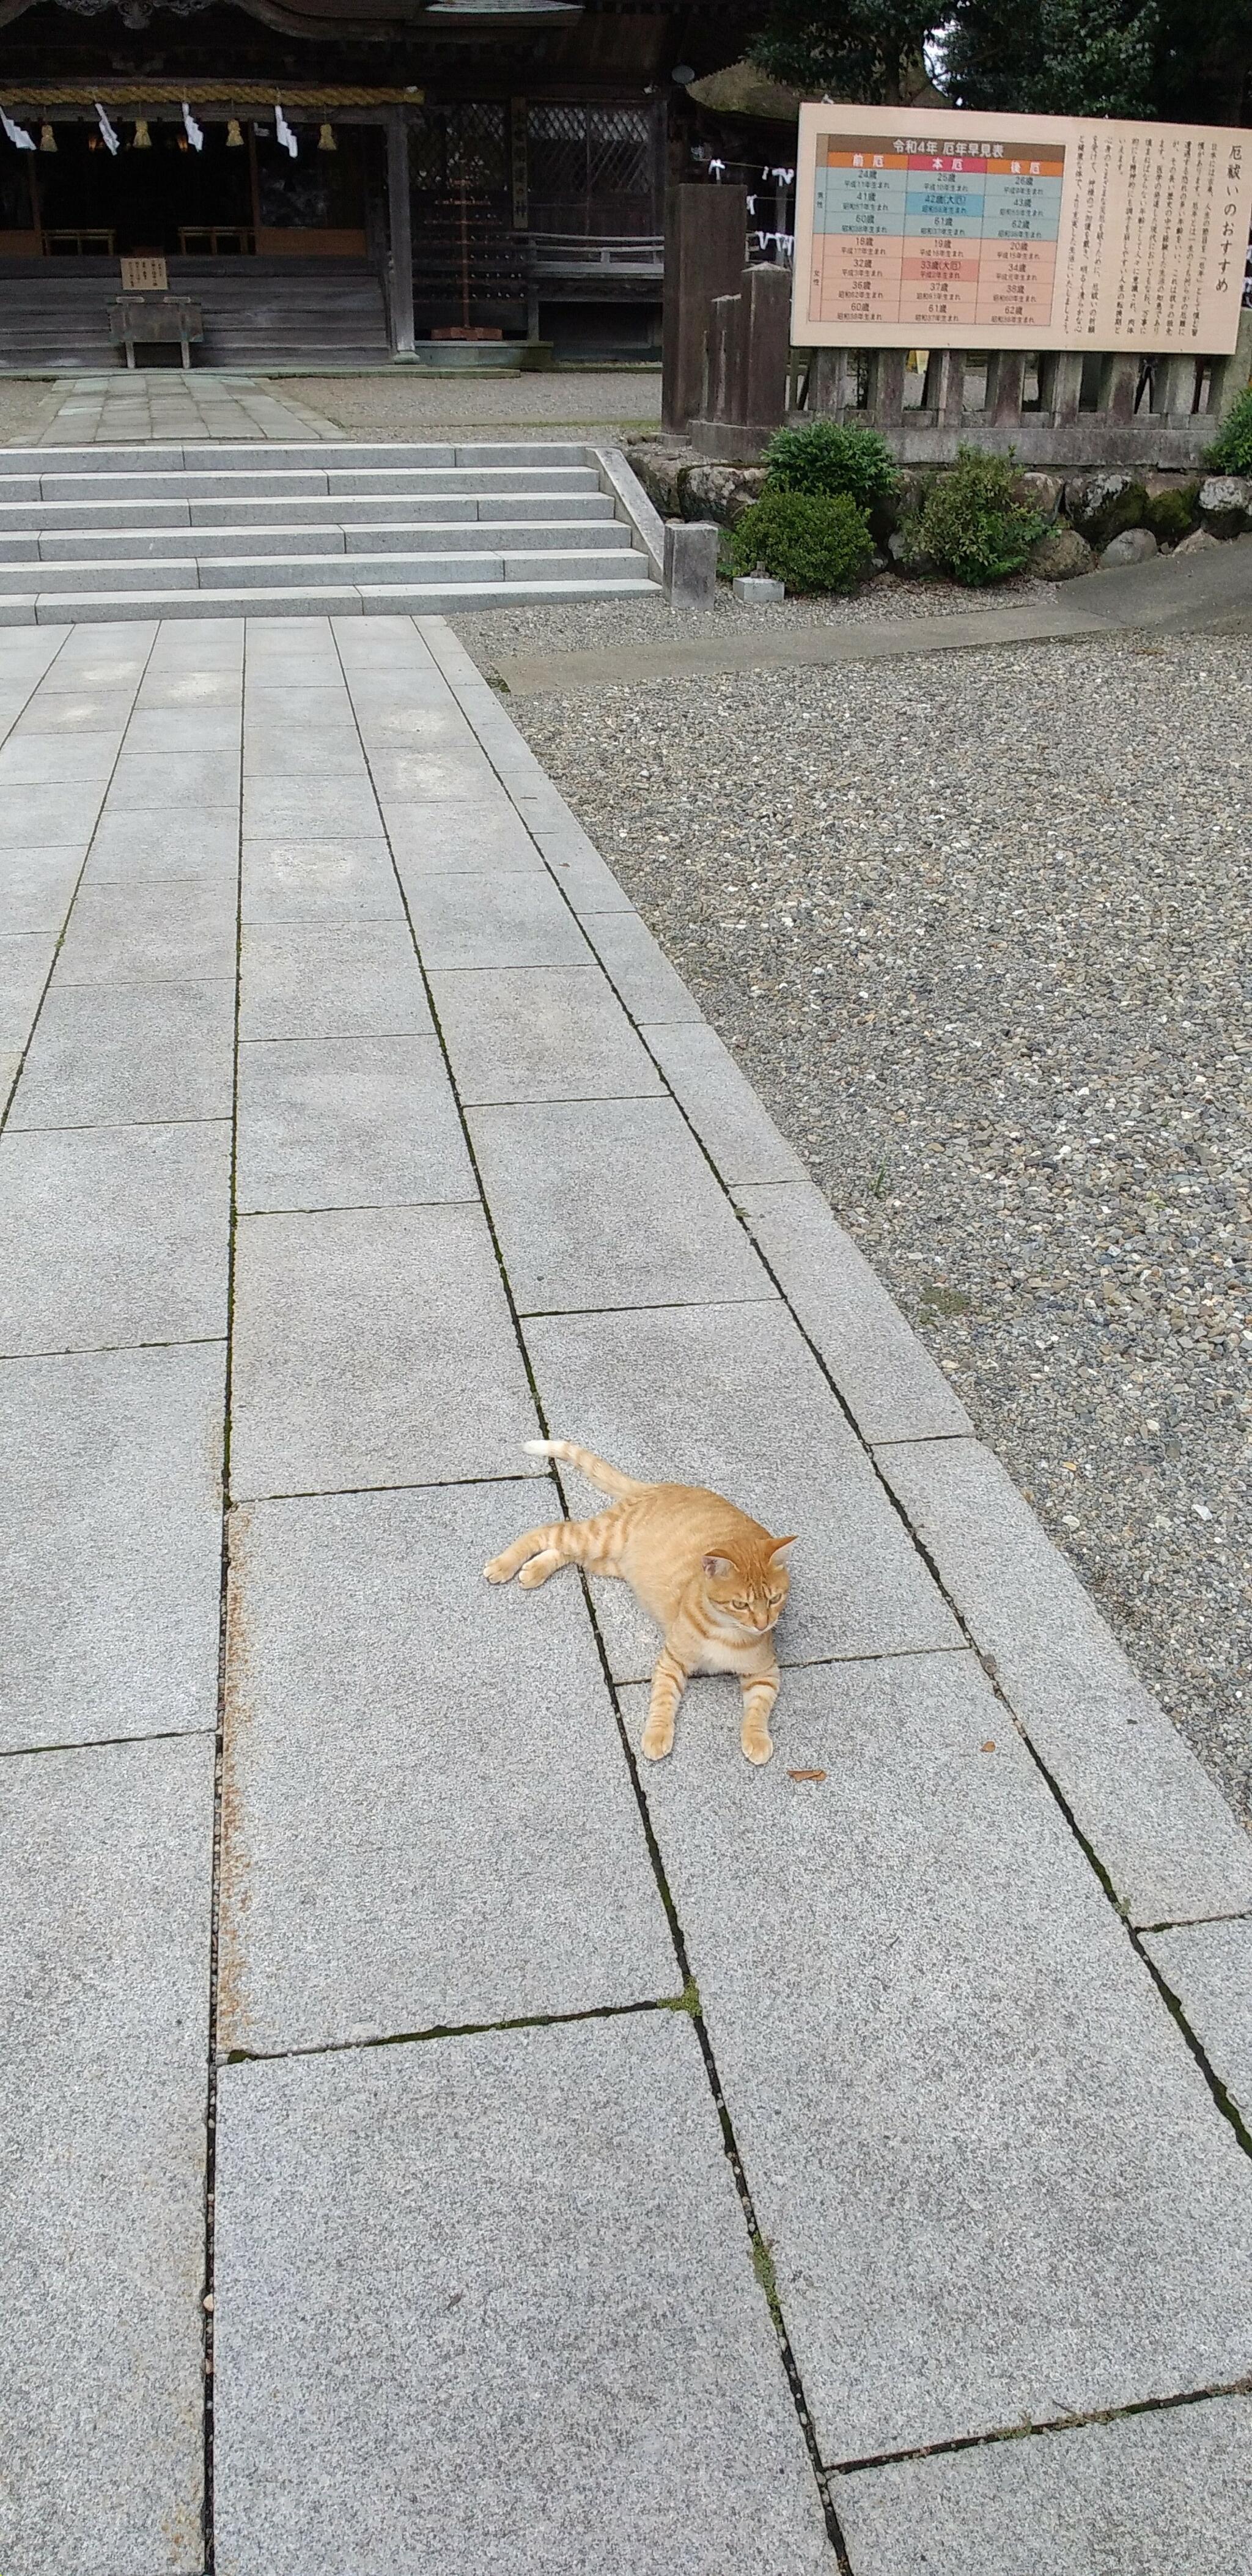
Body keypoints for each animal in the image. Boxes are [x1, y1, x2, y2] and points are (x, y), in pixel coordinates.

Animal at [484, 1432, 798, 1772]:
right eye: (740, 1605)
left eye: (775, 1599)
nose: (763, 1624)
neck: (725, 1633)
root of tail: (662, 1485)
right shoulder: (672, 1662)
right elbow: (662, 1701)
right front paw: (657, 1735)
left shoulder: (765, 1672)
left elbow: (758, 1709)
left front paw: (757, 1739)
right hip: (601, 1538)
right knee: (550, 1531)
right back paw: (504, 1564)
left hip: (608, 1561)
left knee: (565, 1552)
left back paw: (534, 1570)